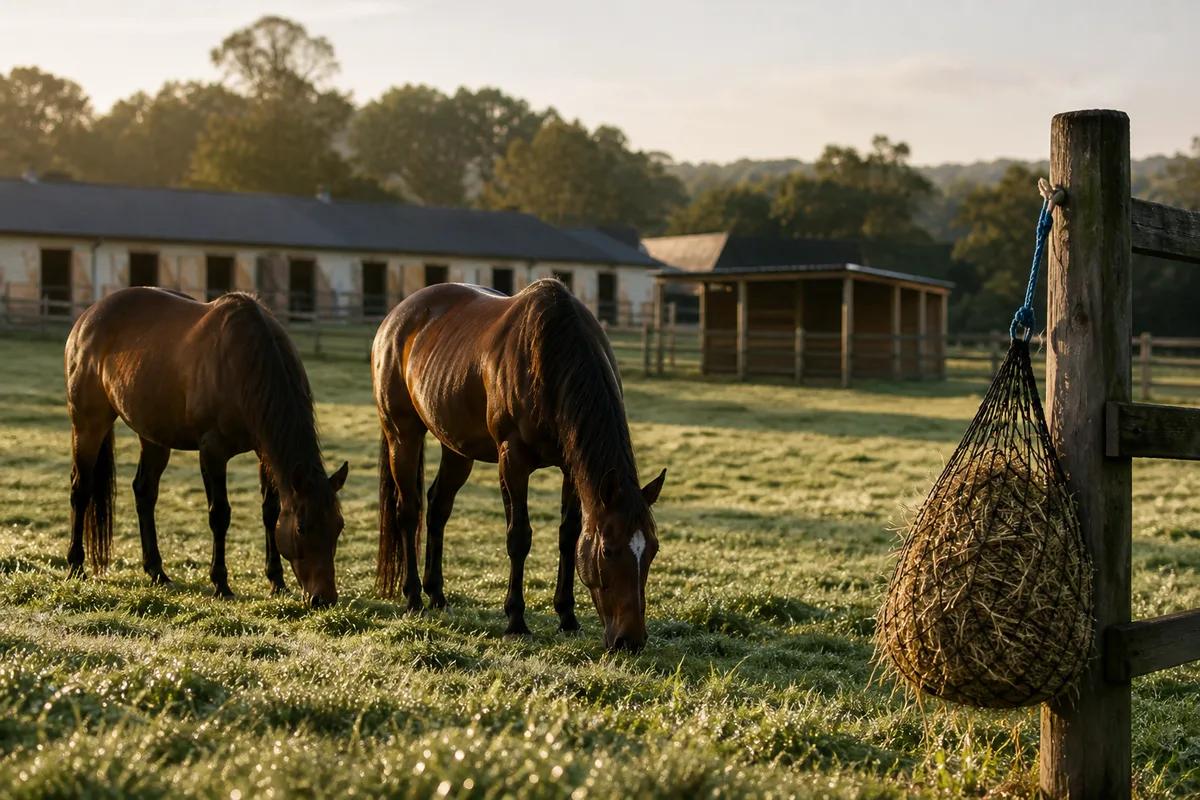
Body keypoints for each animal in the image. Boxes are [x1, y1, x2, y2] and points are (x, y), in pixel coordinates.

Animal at [63, 287, 349, 606]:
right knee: (81, 490)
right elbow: (219, 514)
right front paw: (221, 584)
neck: (243, 364)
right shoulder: (212, 452)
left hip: (153, 436)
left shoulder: (264, 452)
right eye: (301, 528)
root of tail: (88, 317)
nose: (325, 598)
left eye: (338, 526)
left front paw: (277, 581)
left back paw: (157, 572)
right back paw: (75, 566)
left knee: (144, 492)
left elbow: (271, 511)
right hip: (88, 425)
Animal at [371, 278, 666, 652]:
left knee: (438, 507)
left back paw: (437, 596)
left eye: (652, 550)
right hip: (402, 434)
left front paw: (568, 618)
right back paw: (413, 599)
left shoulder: (571, 467)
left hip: (457, 446)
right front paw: (516, 622)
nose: (631, 640)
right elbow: (519, 537)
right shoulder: (512, 460)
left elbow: (568, 535)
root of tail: (395, 318)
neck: (551, 356)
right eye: (608, 551)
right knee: (408, 512)